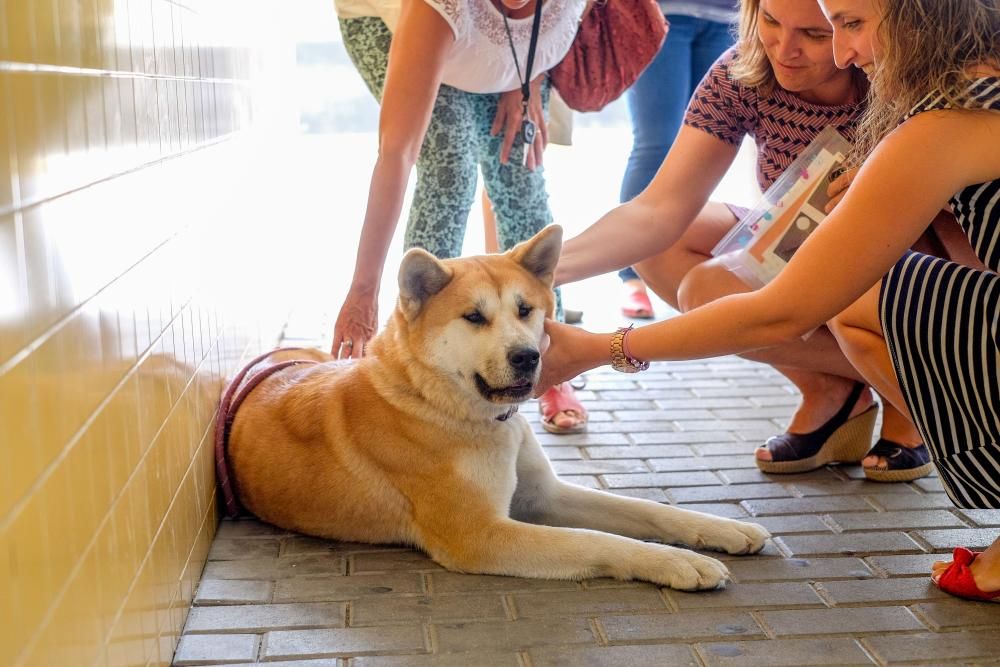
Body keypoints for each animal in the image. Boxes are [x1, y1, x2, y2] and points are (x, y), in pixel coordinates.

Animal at [227, 227, 768, 592]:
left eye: (525, 309)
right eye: (473, 317)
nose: (528, 357)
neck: (435, 401)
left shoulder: (543, 495)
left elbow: (645, 509)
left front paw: (721, 528)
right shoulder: (481, 534)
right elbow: (594, 540)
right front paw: (675, 563)